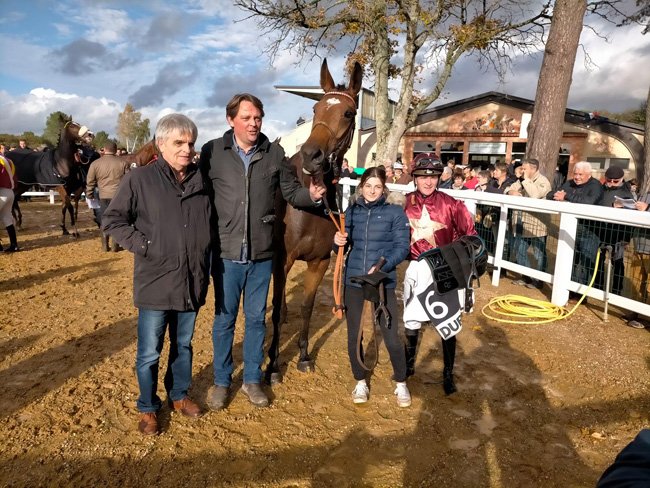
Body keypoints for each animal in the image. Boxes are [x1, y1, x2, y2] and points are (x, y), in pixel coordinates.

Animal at [266, 59, 362, 384]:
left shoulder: (319, 262)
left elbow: (307, 308)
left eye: (348, 113)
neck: (307, 207)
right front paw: (272, 364)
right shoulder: (283, 258)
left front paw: (304, 356)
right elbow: (272, 308)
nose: (311, 155)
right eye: (315, 108)